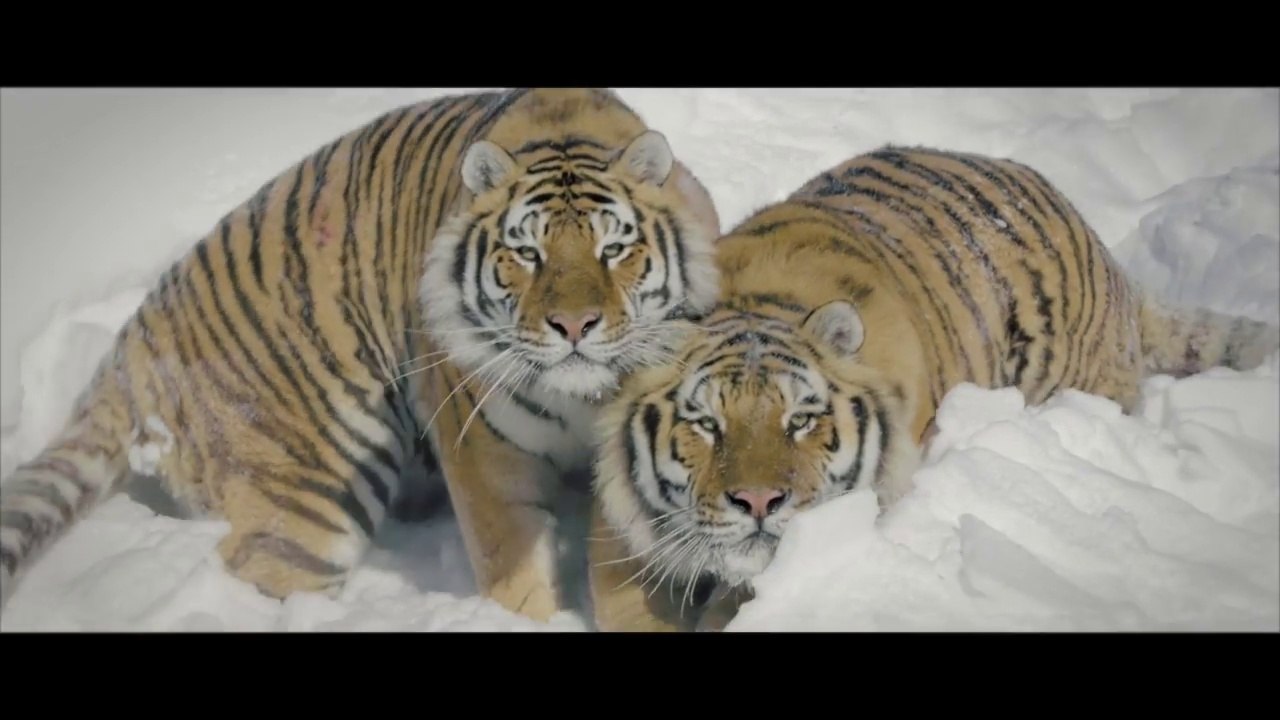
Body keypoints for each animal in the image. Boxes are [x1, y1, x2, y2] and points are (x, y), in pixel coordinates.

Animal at [0, 87, 723, 624]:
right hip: (304, 498)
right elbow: (515, 573)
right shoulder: (487, 457)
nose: (574, 324)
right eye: (527, 253)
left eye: (613, 250)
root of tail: (132, 347)